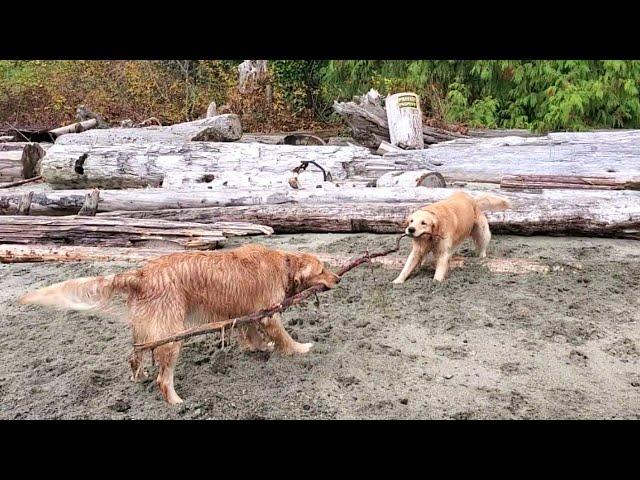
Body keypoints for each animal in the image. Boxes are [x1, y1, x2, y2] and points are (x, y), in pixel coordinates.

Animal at [20, 244, 340, 404]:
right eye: (323, 268)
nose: (338, 278)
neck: (283, 263)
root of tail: (141, 274)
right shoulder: (270, 312)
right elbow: (283, 336)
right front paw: (298, 349)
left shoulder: (246, 312)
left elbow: (251, 334)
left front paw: (260, 348)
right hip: (172, 336)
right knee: (164, 379)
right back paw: (176, 402)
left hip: (145, 331)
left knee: (135, 358)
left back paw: (139, 377)